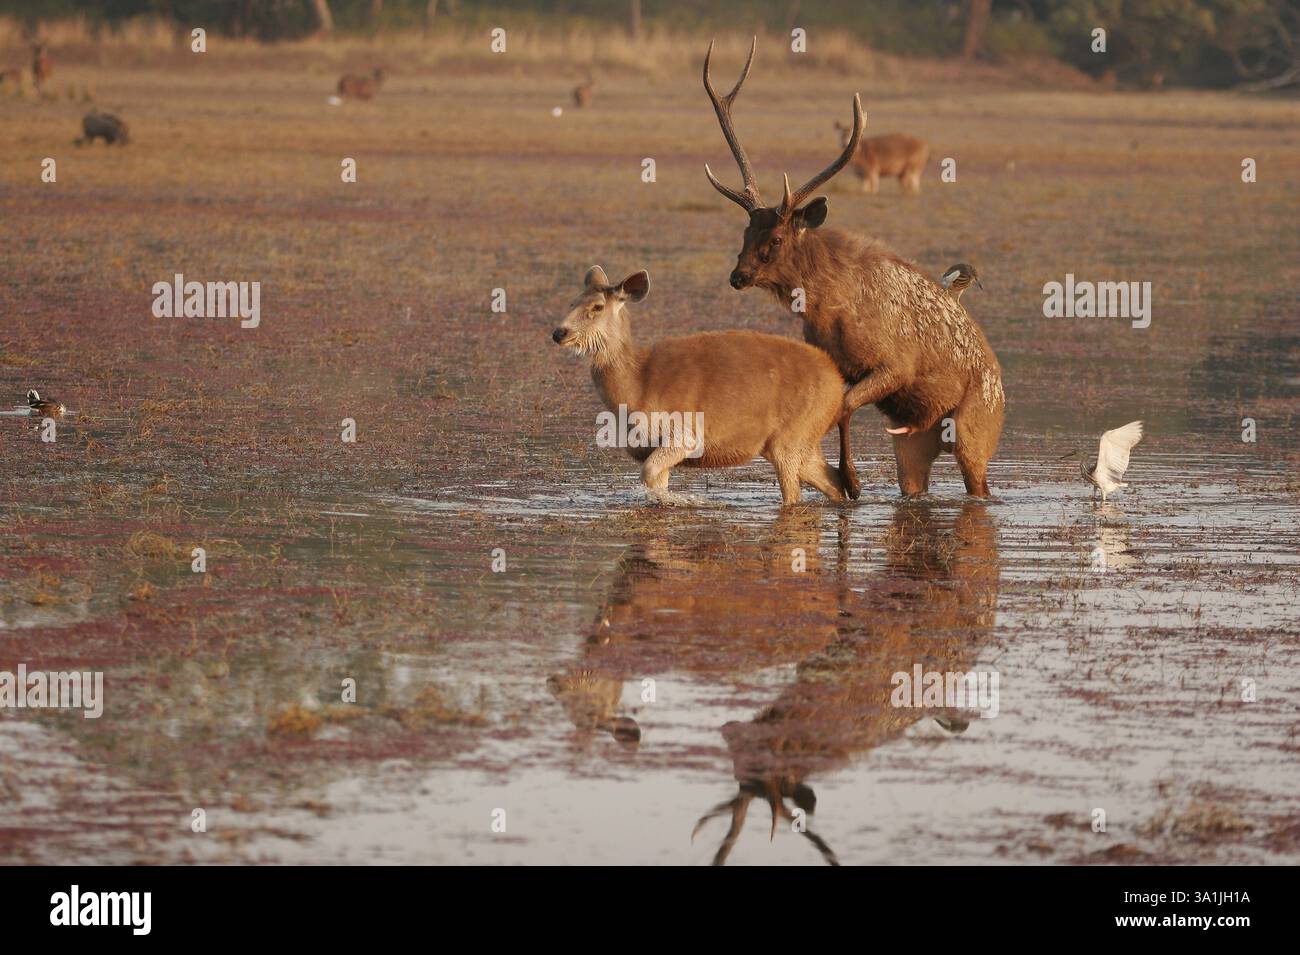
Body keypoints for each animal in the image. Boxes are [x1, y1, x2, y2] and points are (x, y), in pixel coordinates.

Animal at [552, 266, 856, 506]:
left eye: (597, 307)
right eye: (571, 303)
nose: (559, 332)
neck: (636, 388)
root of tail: (836, 383)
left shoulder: (685, 431)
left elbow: (648, 473)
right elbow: (655, 479)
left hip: (793, 435)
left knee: (796, 495)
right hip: (801, 440)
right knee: (834, 480)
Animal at [703, 39, 1004, 498]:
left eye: (776, 239)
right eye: (746, 232)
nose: (738, 276)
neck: (829, 310)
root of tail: (1000, 381)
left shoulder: (895, 364)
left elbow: (843, 407)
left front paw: (851, 479)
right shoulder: (838, 364)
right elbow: (836, 406)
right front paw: (844, 478)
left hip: (977, 429)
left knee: (981, 482)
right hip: (914, 441)